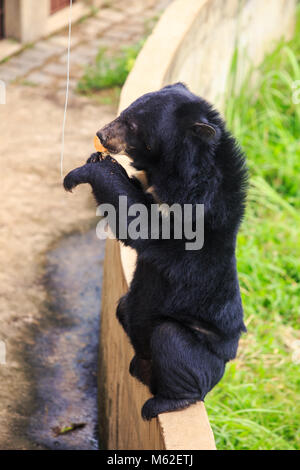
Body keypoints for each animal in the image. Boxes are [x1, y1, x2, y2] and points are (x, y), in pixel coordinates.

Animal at [63, 83, 248, 418]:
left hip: (198, 352)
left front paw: (85, 171)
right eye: (124, 113)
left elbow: (140, 224)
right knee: (124, 307)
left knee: (170, 340)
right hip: (134, 316)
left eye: (133, 126)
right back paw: (137, 368)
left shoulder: (191, 212)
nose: (101, 134)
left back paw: (163, 403)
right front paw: (95, 158)